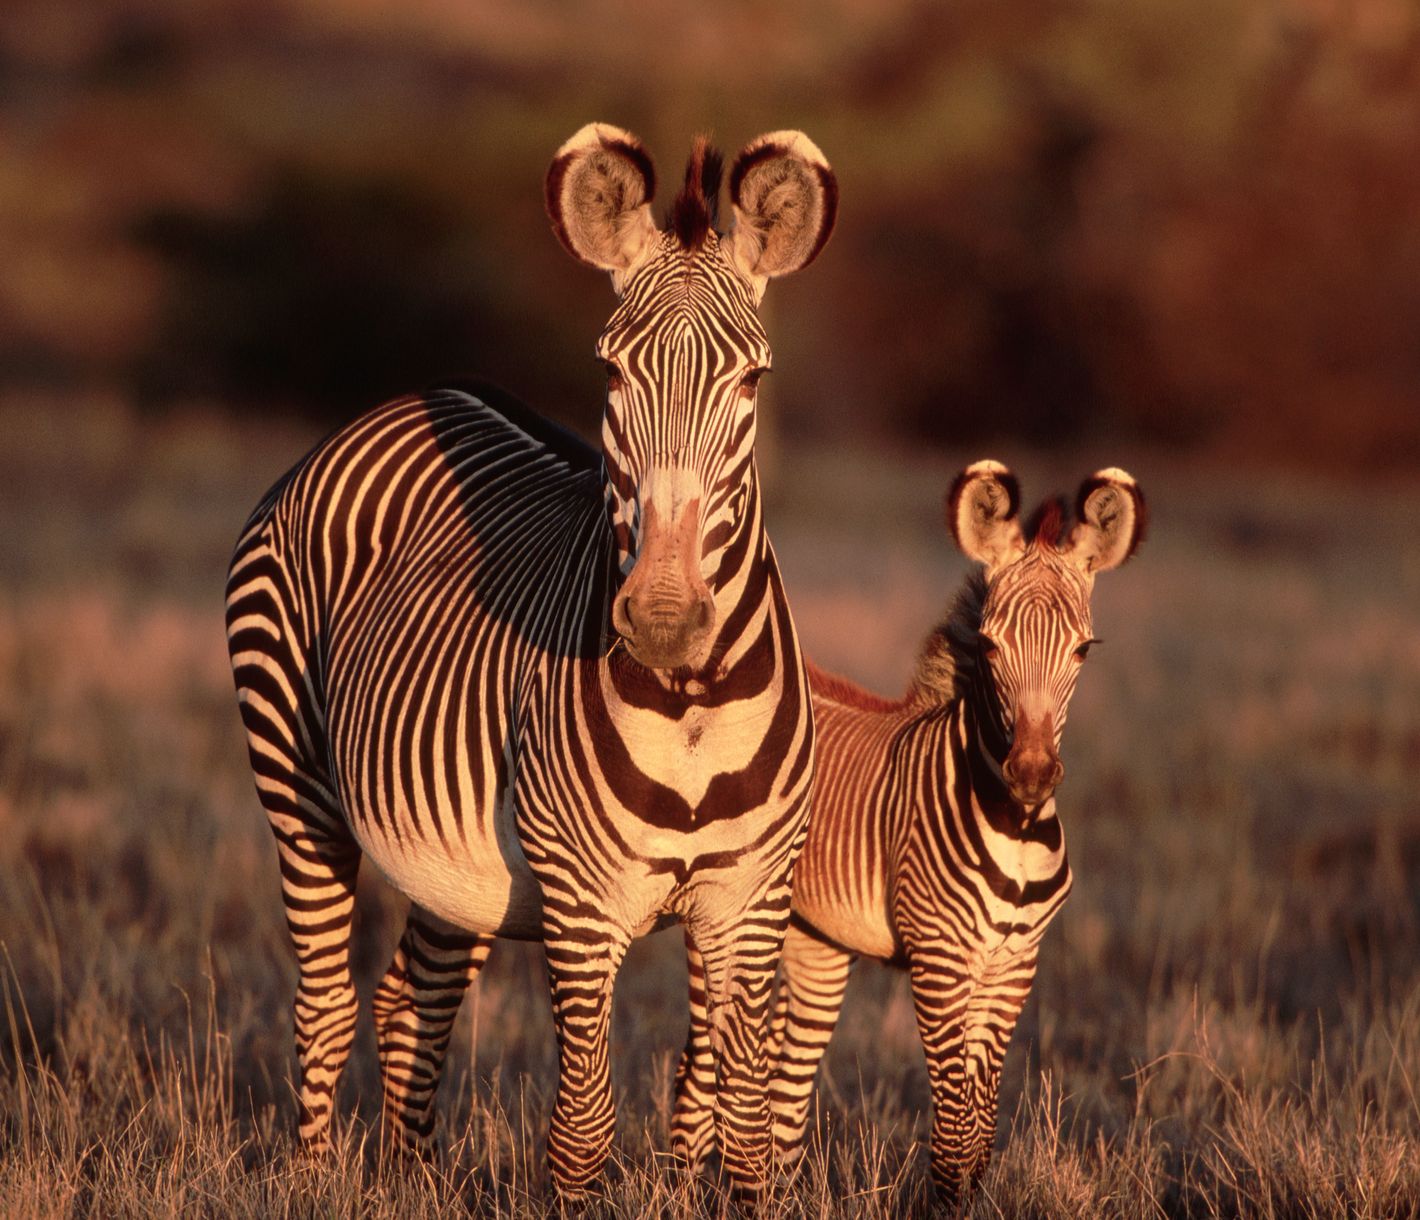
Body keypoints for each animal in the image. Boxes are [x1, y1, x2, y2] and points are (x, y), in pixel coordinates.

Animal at [224, 123, 837, 1200]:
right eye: (611, 375)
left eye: (753, 382)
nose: (666, 619)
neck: (690, 702)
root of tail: (405, 398)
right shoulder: (582, 906)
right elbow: (582, 1129)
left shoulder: (749, 898)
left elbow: (745, 1134)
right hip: (295, 782)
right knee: (325, 1001)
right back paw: (312, 1179)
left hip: (454, 857)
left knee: (410, 998)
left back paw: (414, 1183)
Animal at [671, 460, 1146, 1210]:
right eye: (990, 645)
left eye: (1083, 649)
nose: (1032, 773)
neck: (1014, 828)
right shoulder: (941, 959)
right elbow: (952, 1138)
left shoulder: (1013, 965)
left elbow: (980, 1134)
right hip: (718, 917)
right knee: (696, 1080)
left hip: (815, 939)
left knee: (782, 1086)